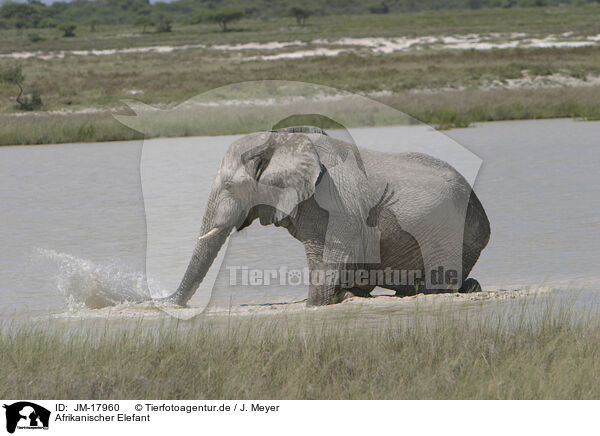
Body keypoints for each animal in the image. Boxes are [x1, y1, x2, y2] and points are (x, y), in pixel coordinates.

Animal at [162, 124, 490, 304]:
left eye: (230, 186)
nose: (166, 302)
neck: (279, 141)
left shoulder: (334, 204)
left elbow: (328, 259)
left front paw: (315, 306)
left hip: (452, 231)